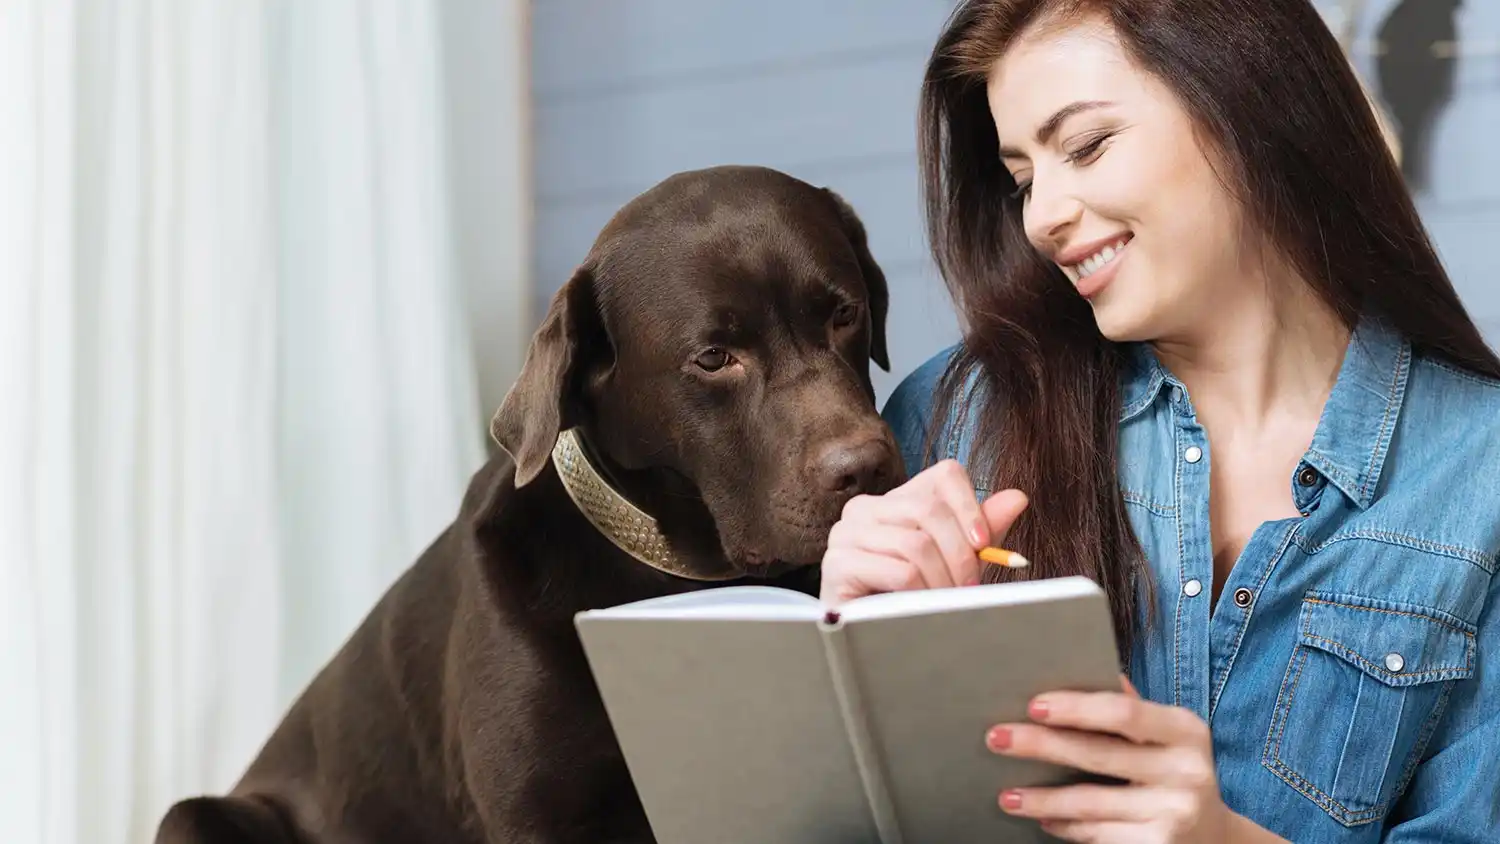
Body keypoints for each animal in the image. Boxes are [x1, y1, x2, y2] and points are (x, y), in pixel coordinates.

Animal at [155, 164, 900, 844]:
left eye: (844, 313)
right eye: (714, 357)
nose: (864, 466)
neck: (668, 576)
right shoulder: (539, 814)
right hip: (192, 817)